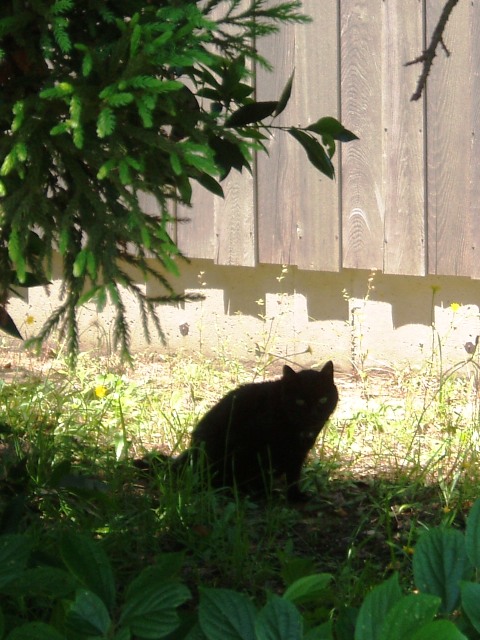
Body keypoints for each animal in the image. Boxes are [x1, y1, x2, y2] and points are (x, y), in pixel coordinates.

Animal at [188, 360, 338, 500]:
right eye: (300, 401)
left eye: (323, 400)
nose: (314, 415)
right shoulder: (255, 446)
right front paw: (266, 494)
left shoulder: (298, 453)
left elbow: (294, 476)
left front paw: (295, 496)